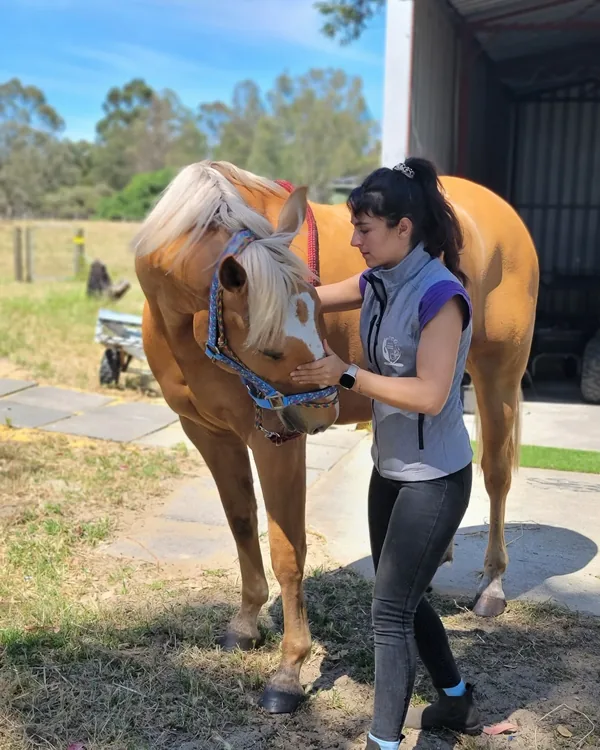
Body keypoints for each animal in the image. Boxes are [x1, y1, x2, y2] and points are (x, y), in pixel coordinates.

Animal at [132, 160, 539, 714]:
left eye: (317, 315)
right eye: (269, 348)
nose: (321, 411)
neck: (185, 320)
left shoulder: (275, 440)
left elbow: (289, 553)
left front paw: (288, 671)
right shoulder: (209, 435)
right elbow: (241, 524)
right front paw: (245, 624)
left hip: (498, 377)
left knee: (495, 475)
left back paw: (492, 586)